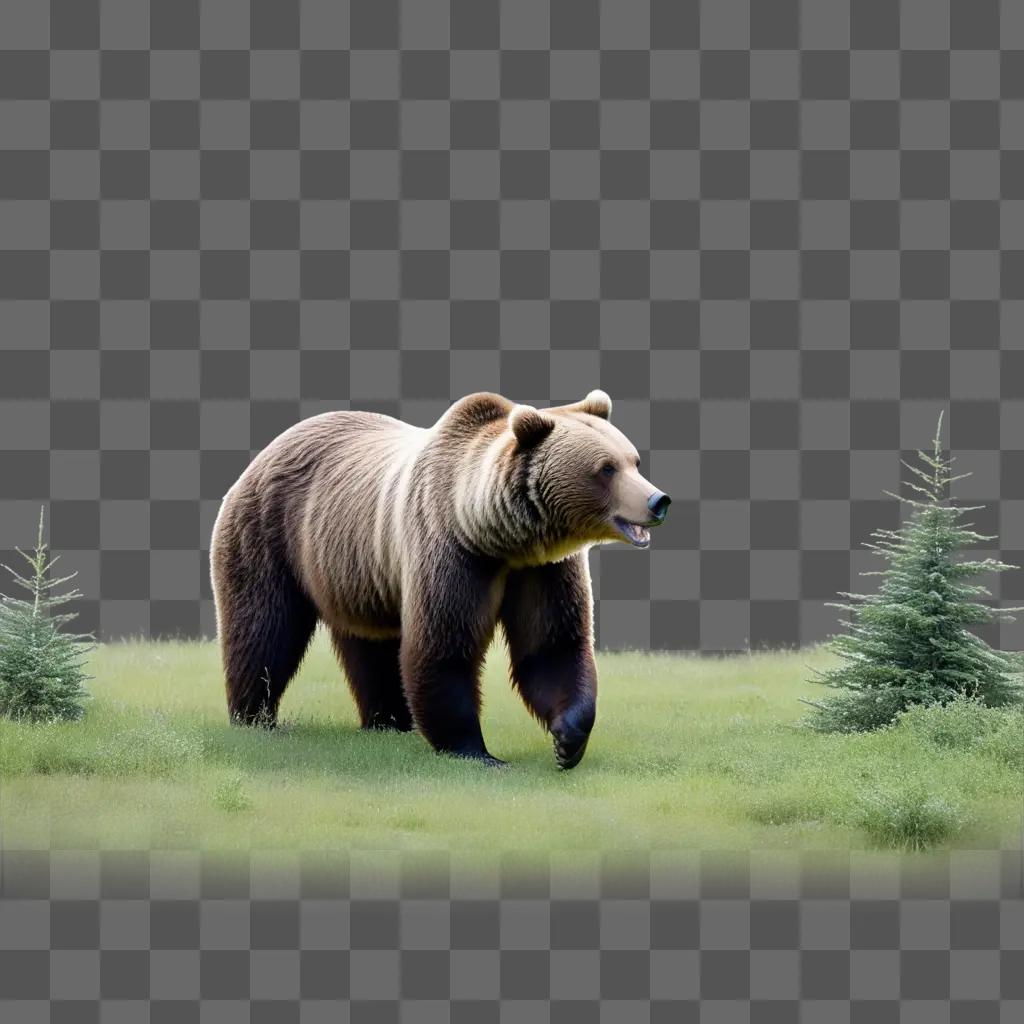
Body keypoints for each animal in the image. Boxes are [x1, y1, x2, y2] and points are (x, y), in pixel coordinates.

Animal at [208, 391, 671, 770]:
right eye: (606, 468)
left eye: (633, 460)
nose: (658, 500)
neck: (499, 537)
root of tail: (269, 447)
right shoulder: (451, 553)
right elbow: (443, 646)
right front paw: (476, 750)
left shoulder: (542, 570)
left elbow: (551, 645)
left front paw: (568, 739)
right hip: (270, 533)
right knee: (264, 628)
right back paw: (255, 717)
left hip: (356, 570)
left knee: (373, 646)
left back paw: (389, 721)